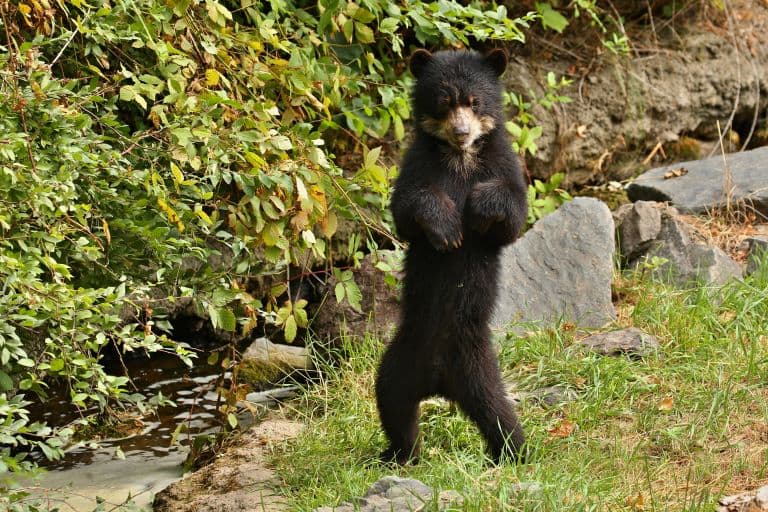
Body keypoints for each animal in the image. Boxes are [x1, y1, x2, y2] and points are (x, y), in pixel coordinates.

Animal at [375, 48, 528, 465]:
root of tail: (439, 383)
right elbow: (407, 209)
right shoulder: (417, 163)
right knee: (391, 402)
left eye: (475, 102)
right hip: (398, 363)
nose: (461, 132)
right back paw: (401, 453)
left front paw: (475, 211)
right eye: (444, 102)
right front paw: (446, 231)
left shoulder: (504, 162)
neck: (460, 159)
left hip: (480, 369)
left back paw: (514, 453)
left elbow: (512, 215)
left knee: (499, 414)